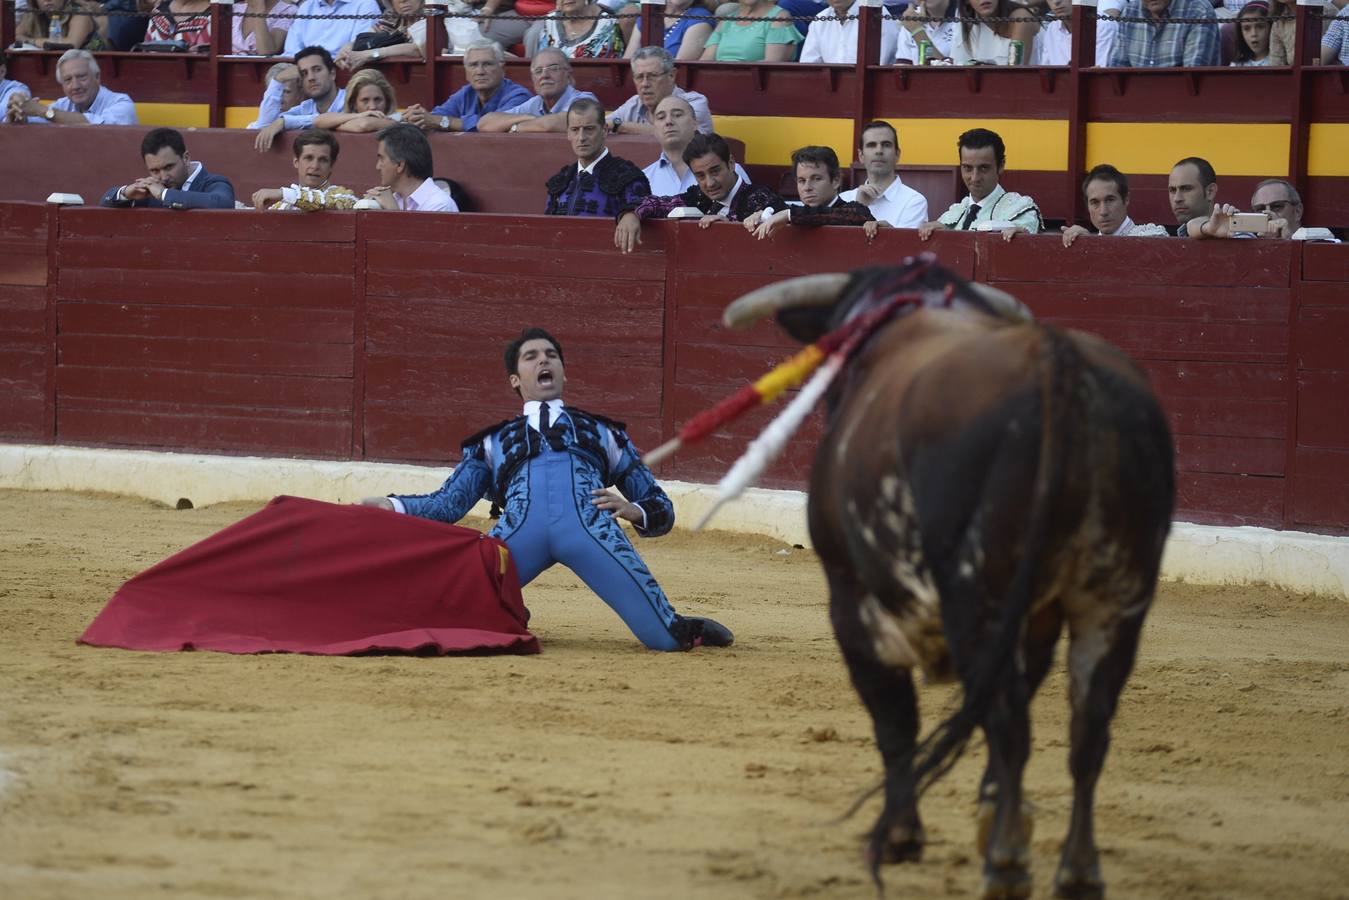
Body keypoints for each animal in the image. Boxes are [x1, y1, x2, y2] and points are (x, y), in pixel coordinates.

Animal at [723, 256, 1176, 895]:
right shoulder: (1037, 619)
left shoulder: (852, 602)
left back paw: (1007, 863)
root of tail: (1058, 362)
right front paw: (992, 811)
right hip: (1117, 600)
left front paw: (900, 835)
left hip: (978, 596)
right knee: (1087, 729)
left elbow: (896, 722)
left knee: (1009, 721)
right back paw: (1076, 870)